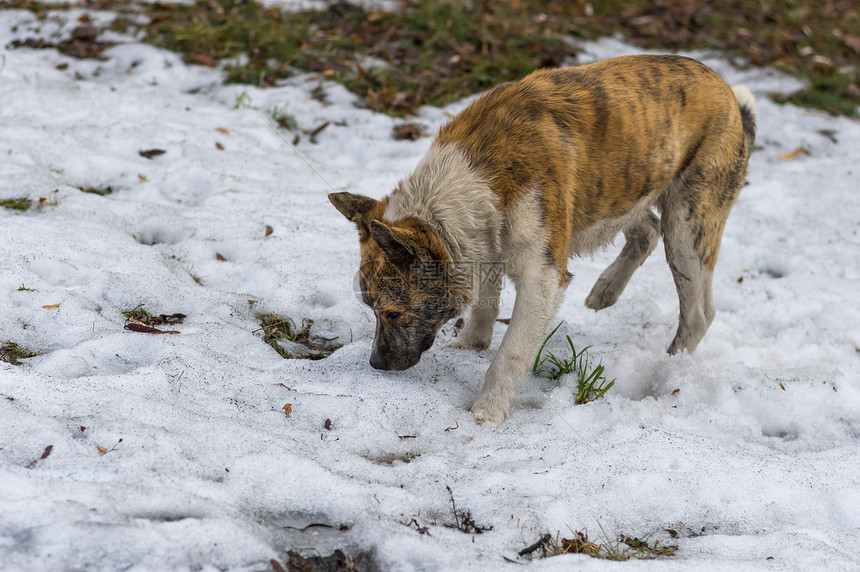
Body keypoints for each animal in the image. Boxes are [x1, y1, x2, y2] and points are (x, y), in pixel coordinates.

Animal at [330, 55, 752, 424]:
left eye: (392, 314)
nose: (376, 363)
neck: (464, 186)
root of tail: (729, 94)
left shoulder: (542, 280)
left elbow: (512, 353)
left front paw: (487, 412)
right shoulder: (486, 241)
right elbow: (486, 298)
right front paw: (471, 344)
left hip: (687, 226)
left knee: (698, 313)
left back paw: (670, 370)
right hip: (626, 189)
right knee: (646, 228)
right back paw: (607, 289)